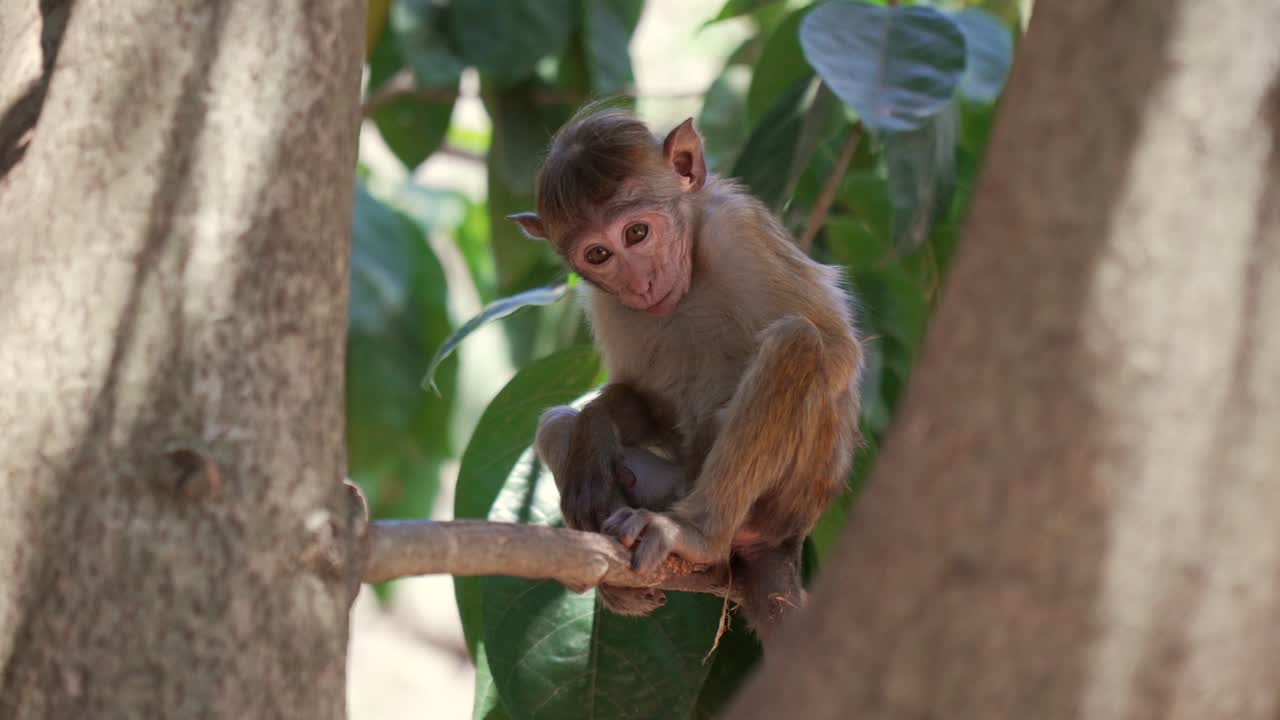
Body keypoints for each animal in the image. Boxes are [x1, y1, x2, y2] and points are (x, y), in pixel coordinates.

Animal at [511, 105, 862, 643]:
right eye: (598, 255)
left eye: (636, 233)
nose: (640, 283)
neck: (692, 267)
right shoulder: (605, 303)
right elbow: (644, 402)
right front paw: (597, 426)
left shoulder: (737, 230)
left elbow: (839, 351)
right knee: (555, 425)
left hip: (787, 499)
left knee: (797, 343)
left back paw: (696, 534)